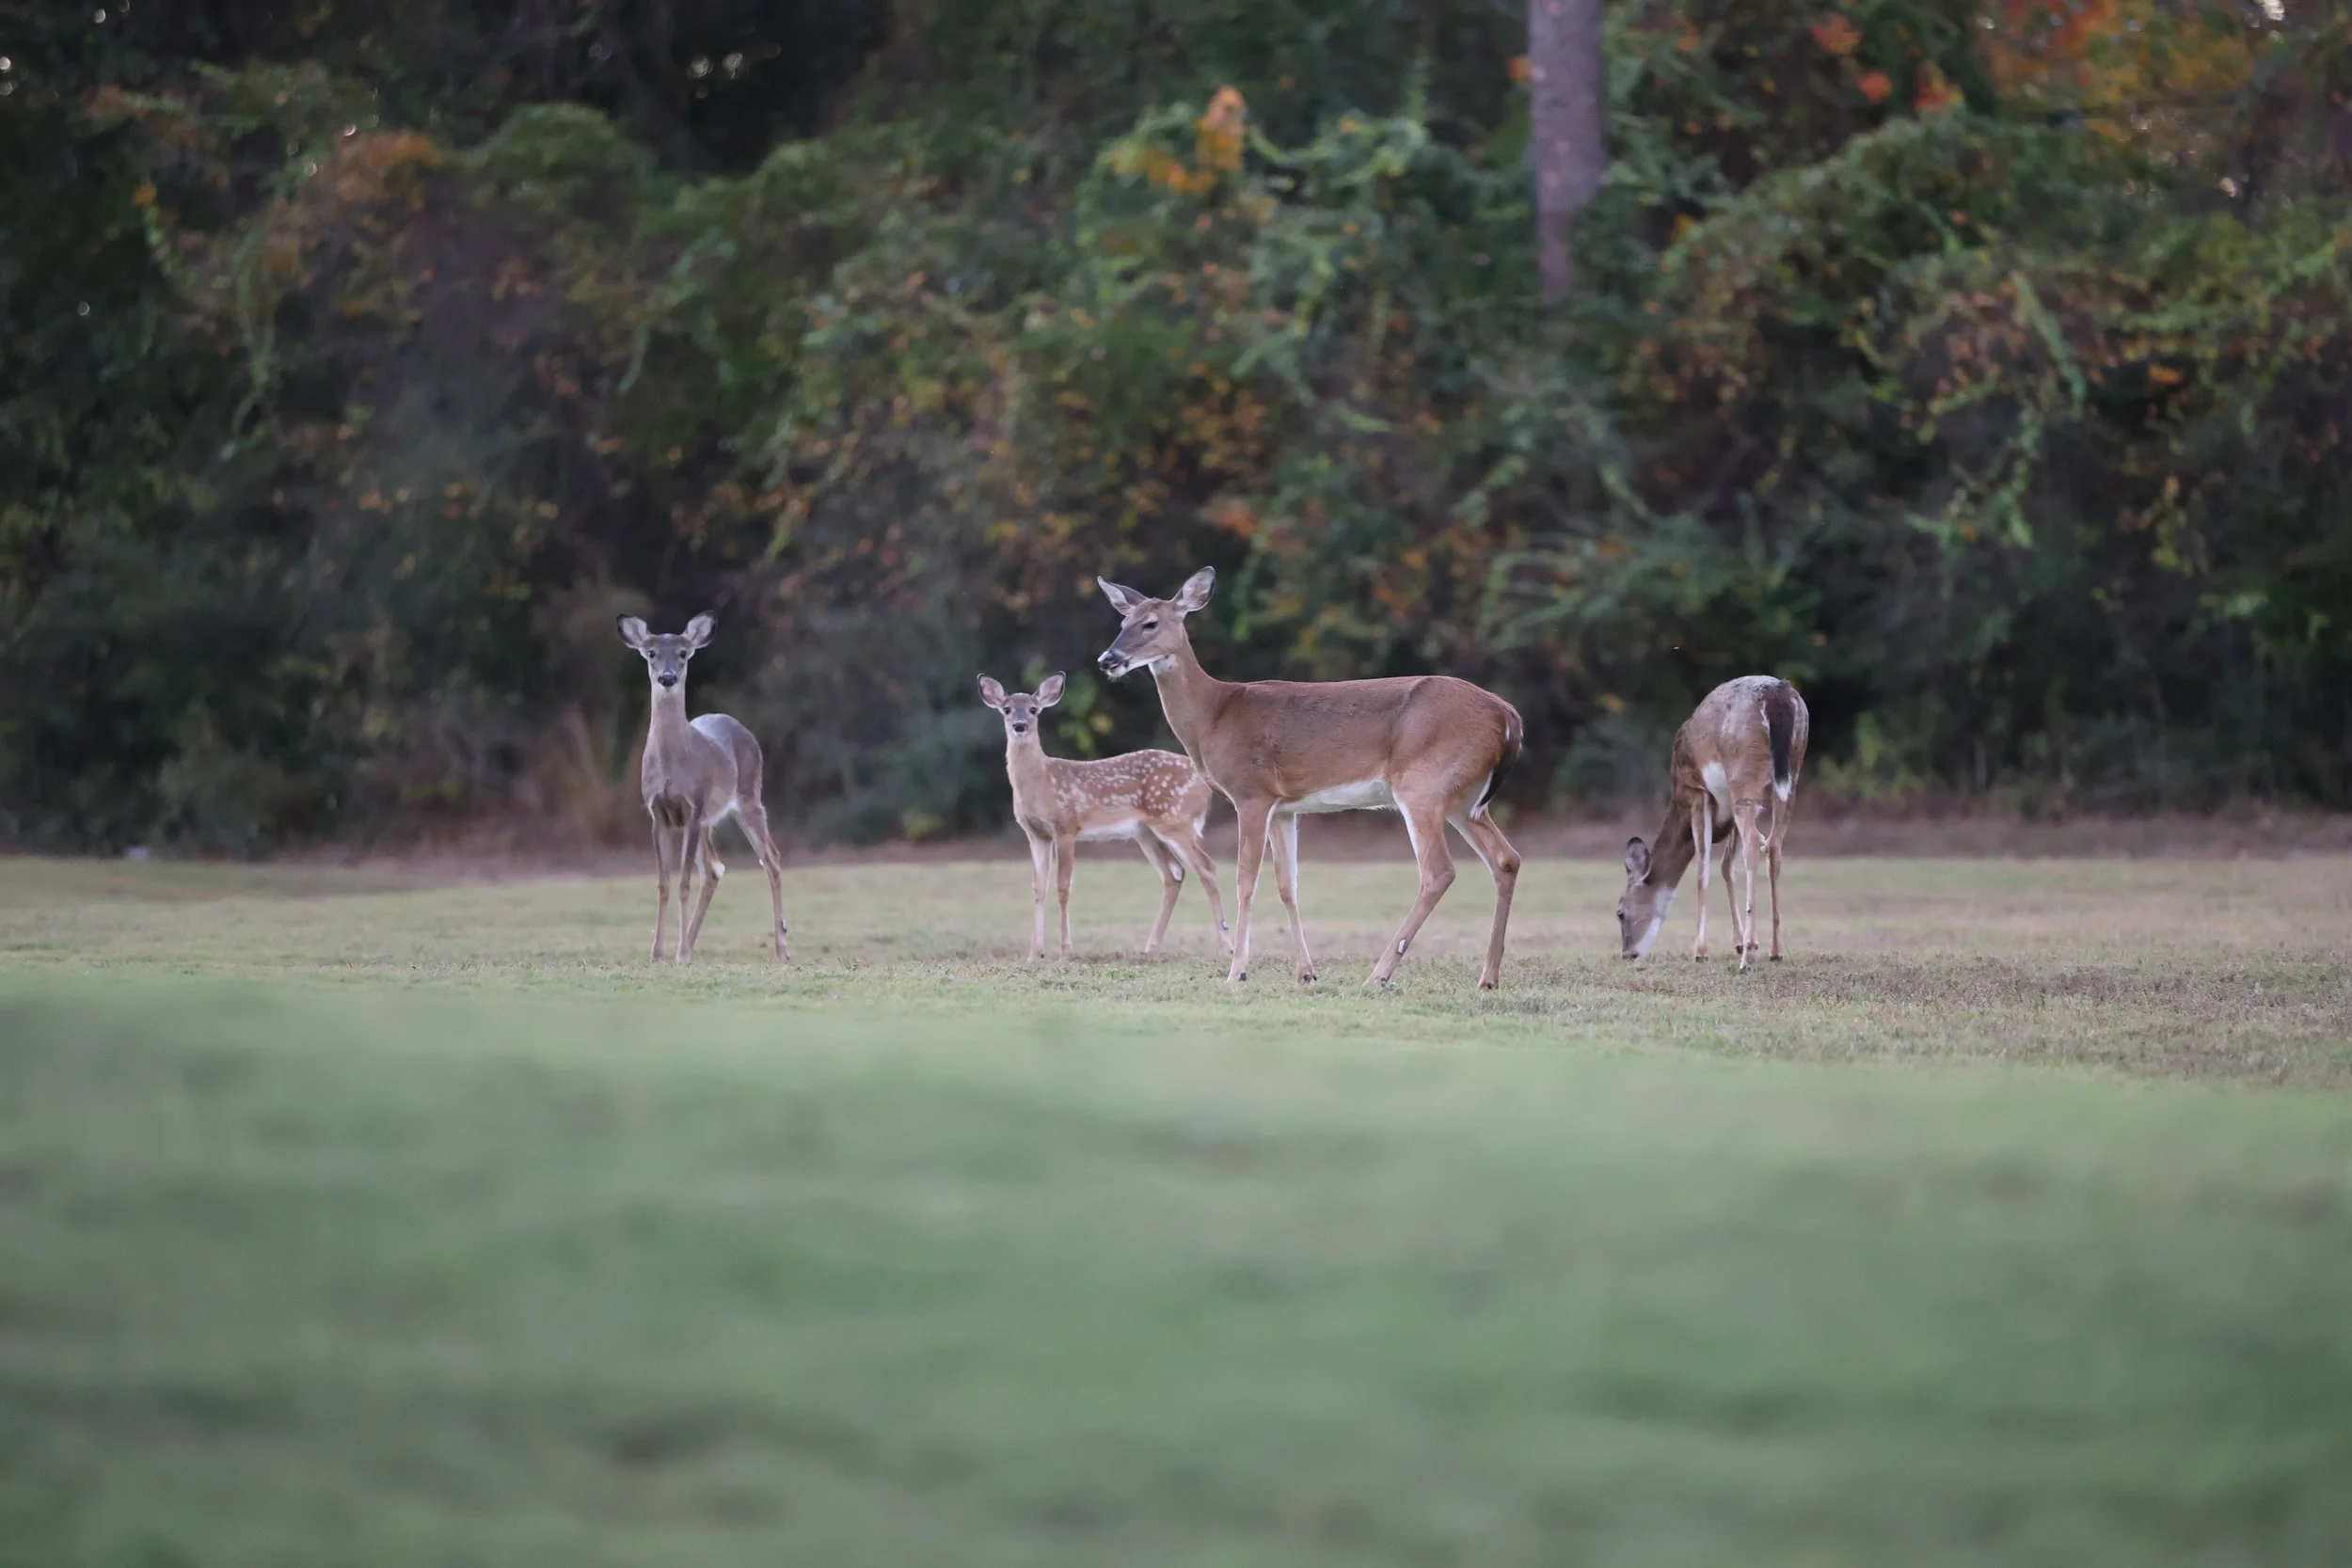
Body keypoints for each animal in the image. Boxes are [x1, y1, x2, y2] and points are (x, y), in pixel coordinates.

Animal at [616, 613, 788, 966]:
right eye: (651, 653)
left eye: (683, 653)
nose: (667, 678)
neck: (672, 767)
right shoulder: (658, 814)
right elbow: (664, 884)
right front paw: (658, 954)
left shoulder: (693, 807)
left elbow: (683, 882)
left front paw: (678, 953)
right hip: (710, 820)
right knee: (714, 869)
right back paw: (690, 943)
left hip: (748, 797)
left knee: (772, 859)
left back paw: (781, 949)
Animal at [979, 672, 1231, 963]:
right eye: (1007, 709)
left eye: (1033, 709)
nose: (1019, 725)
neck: (1041, 782)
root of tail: (1204, 785)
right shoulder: (1036, 834)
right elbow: (1038, 887)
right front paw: (1034, 955)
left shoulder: (1066, 827)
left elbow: (1063, 886)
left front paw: (1065, 952)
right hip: (1146, 832)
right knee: (1173, 875)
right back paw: (1151, 947)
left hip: (1175, 821)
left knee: (1206, 867)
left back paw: (1226, 946)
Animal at [1094, 568, 1524, 989]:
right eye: (1122, 621)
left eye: (1150, 623)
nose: (1107, 659)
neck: (1213, 716)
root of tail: (1508, 715)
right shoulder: (1285, 807)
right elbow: (1288, 884)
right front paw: (1305, 972)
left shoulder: (1251, 793)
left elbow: (1246, 880)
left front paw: (1237, 972)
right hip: (1465, 800)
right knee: (1506, 860)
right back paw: (1488, 977)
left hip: (1422, 785)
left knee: (1438, 872)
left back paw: (1379, 974)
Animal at [1617, 675, 1809, 973]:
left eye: (1620, 912)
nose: (1628, 955)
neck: (1678, 800)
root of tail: (1777, 693)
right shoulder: (1729, 814)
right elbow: (1727, 867)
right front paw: (1742, 942)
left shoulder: (1697, 793)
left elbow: (1702, 870)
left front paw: (1702, 951)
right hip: (1790, 773)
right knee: (1774, 845)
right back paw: (1775, 951)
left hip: (1744, 774)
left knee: (1755, 842)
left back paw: (1747, 961)